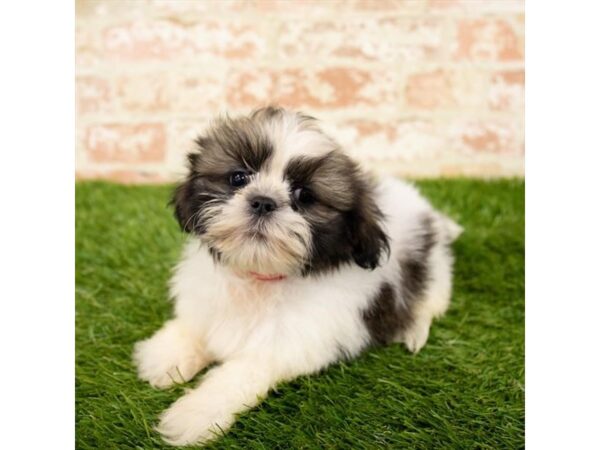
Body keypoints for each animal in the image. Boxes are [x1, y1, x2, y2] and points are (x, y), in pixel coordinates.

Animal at [134, 106, 462, 446]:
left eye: (304, 196)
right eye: (239, 178)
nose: (263, 201)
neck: (260, 277)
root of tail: (432, 216)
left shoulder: (285, 345)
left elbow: (239, 375)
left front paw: (195, 413)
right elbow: (196, 325)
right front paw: (165, 354)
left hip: (434, 272)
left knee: (430, 301)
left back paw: (414, 330)